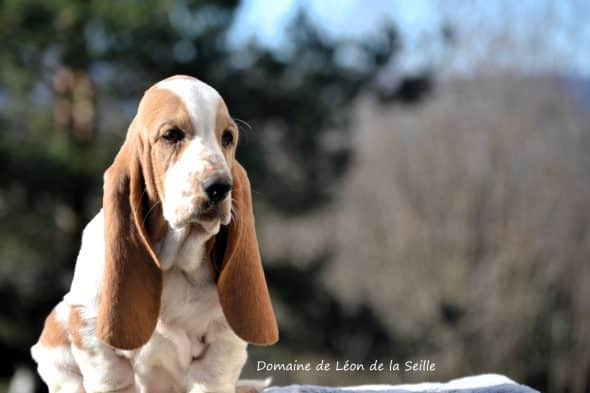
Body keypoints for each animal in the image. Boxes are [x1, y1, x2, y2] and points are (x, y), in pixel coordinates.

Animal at [31, 74, 280, 392]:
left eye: (227, 138)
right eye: (171, 135)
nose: (220, 187)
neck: (175, 260)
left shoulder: (223, 341)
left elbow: (211, 376)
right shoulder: (87, 323)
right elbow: (113, 376)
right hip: (54, 335)